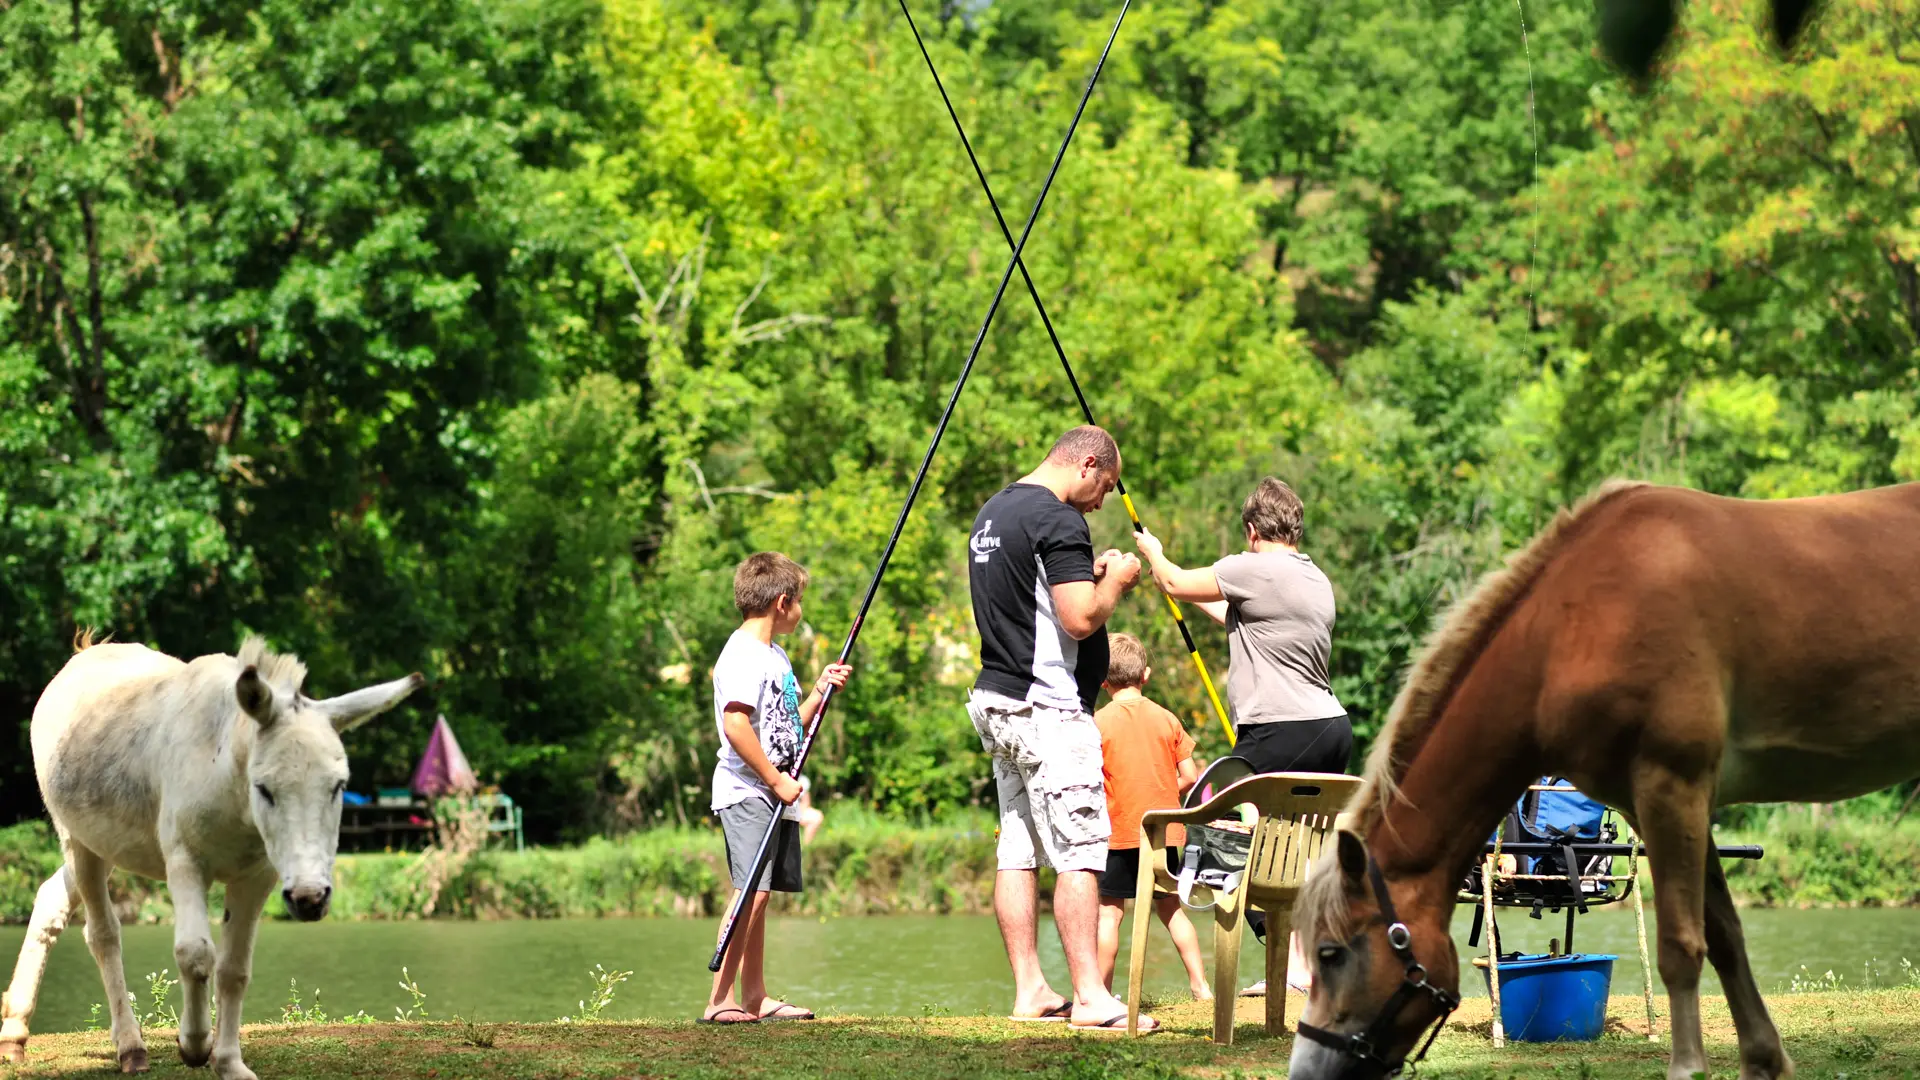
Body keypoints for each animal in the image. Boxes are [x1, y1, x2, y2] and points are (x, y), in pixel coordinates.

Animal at [1290, 478, 1920, 1076]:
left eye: (1330, 953)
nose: (1305, 1067)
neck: (1572, 624)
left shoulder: (1673, 785)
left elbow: (1680, 946)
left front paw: (1688, 1067)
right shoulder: (1662, 803)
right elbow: (1724, 936)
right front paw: (1763, 1061)